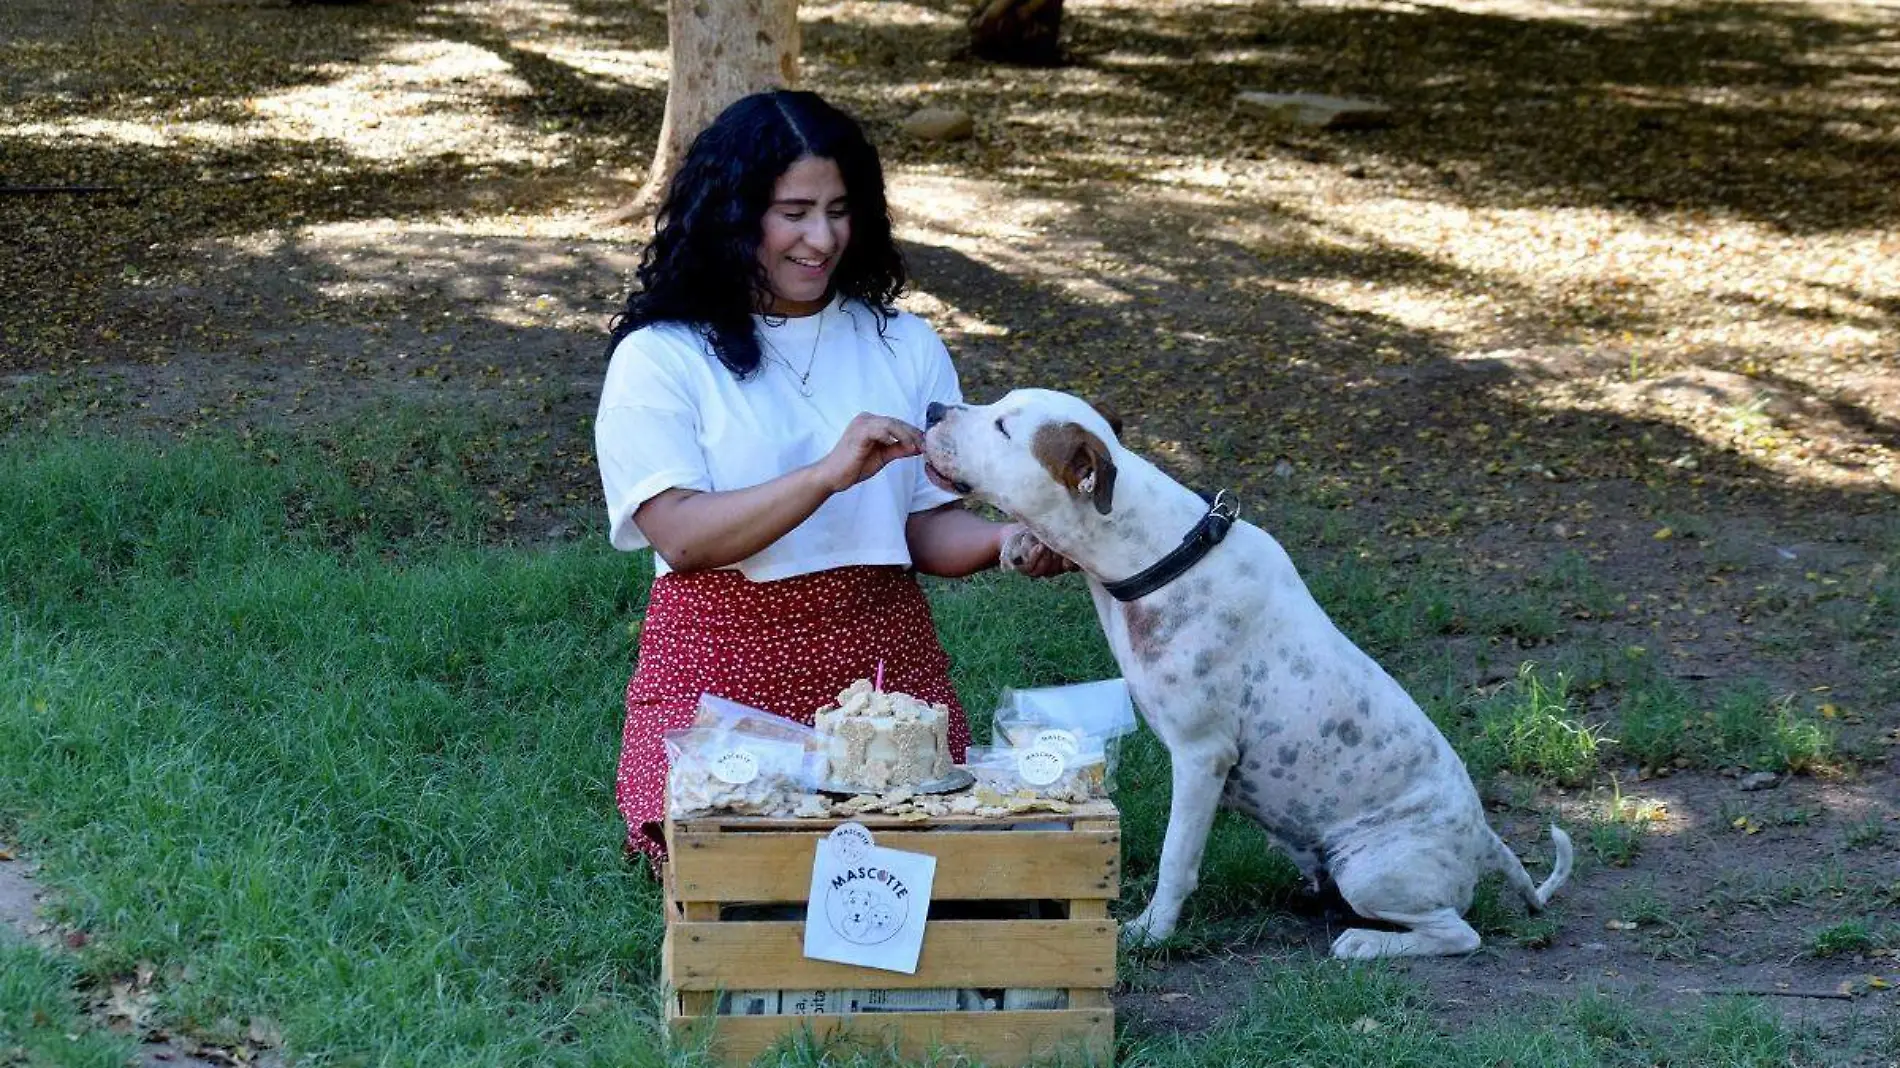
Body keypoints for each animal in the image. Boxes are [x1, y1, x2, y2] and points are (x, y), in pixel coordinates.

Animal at [923, 389, 1573, 957]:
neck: (1159, 555)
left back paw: (1366, 943)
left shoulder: (1201, 757)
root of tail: (1484, 838)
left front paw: (1149, 933)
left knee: (1459, 933)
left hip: (1373, 866)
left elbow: (1176, 860)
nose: (932, 408)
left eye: (1004, 428)